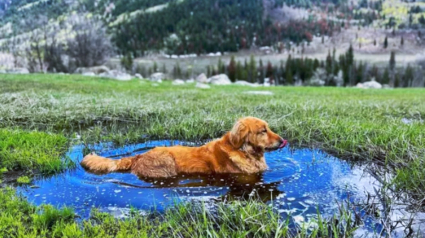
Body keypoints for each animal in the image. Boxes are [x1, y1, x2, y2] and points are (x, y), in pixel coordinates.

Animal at [81, 117, 286, 178]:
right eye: (263, 131)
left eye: (268, 128)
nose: (283, 140)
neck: (243, 150)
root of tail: (139, 156)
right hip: (167, 163)